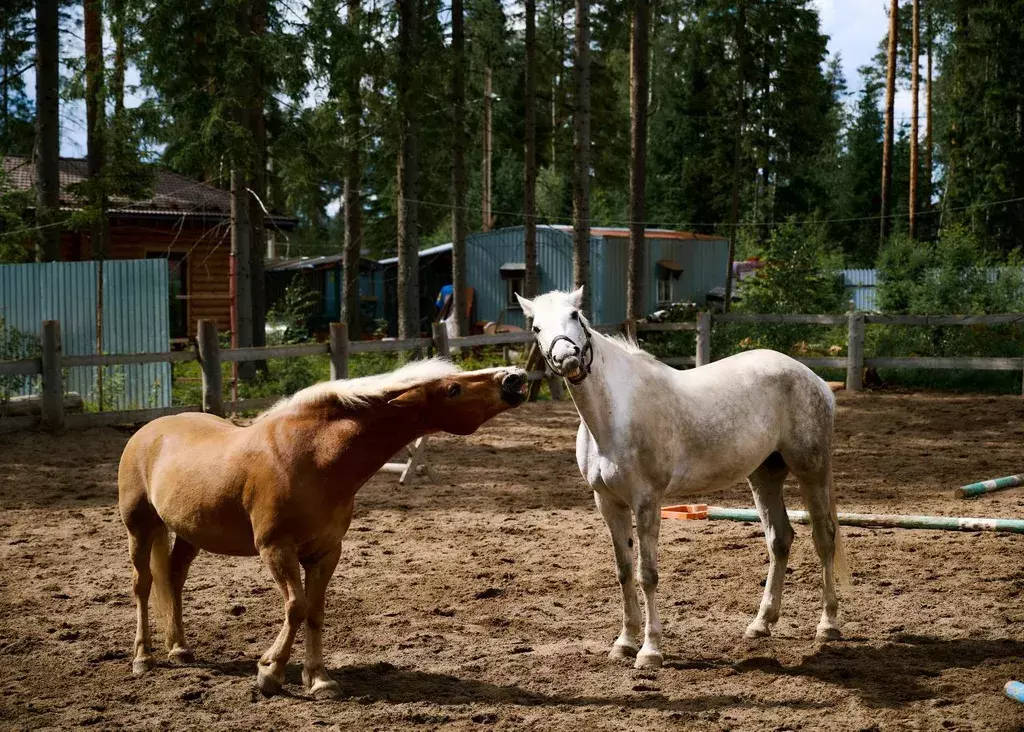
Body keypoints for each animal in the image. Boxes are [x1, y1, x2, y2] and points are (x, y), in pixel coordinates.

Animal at [117, 360, 528, 700]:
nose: (515, 378)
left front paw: (319, 680)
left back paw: (179, 649)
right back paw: (143, 658)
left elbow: (315, 611)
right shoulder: (276, 548)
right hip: (139, 528)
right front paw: (270, 673)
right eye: (453, 389)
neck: (314, 457)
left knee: (173, 579)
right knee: (143, 585)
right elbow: (296, 607)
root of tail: (148, 431)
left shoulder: (326, 552)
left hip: (188, 533)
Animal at [516, 288, 851, 671]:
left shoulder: (647, 501)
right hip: (764, 475)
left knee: (824, 538)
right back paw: (761, 624)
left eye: (574, 315)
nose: (568, 358)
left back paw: (827, 626)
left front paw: (650, 651)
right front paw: (624, 643)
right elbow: (624, 571)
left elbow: (647, 574)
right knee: (780, 539)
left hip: (812, 470)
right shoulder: (609, 503)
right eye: (536, 327)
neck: (615, 414)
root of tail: (815, 380)